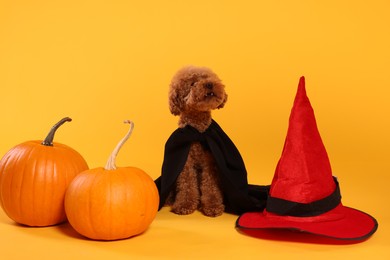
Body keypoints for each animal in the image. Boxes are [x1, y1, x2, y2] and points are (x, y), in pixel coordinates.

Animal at [165, 65, 227, 217]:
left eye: (208, 78)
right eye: (192, 83)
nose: (209, 84)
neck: (197, 132)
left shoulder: (210, 164)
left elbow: (210, 186)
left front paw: (213, 206)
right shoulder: (186, 163)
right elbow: (187, 185)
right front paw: (184, 205)